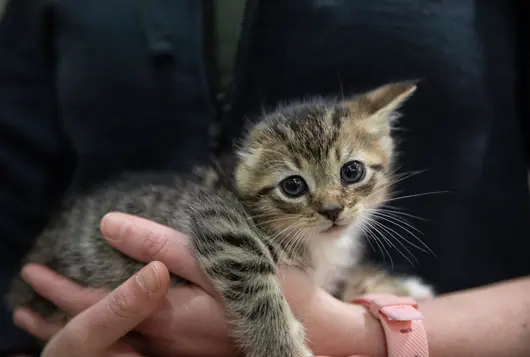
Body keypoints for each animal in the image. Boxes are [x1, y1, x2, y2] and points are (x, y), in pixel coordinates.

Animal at [6, 80, 432, 356]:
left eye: (352, 171)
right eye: (293, 186)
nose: (332, 210)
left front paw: (399, 288)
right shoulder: (217, 220)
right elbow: (257, 283)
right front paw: (283, 347)